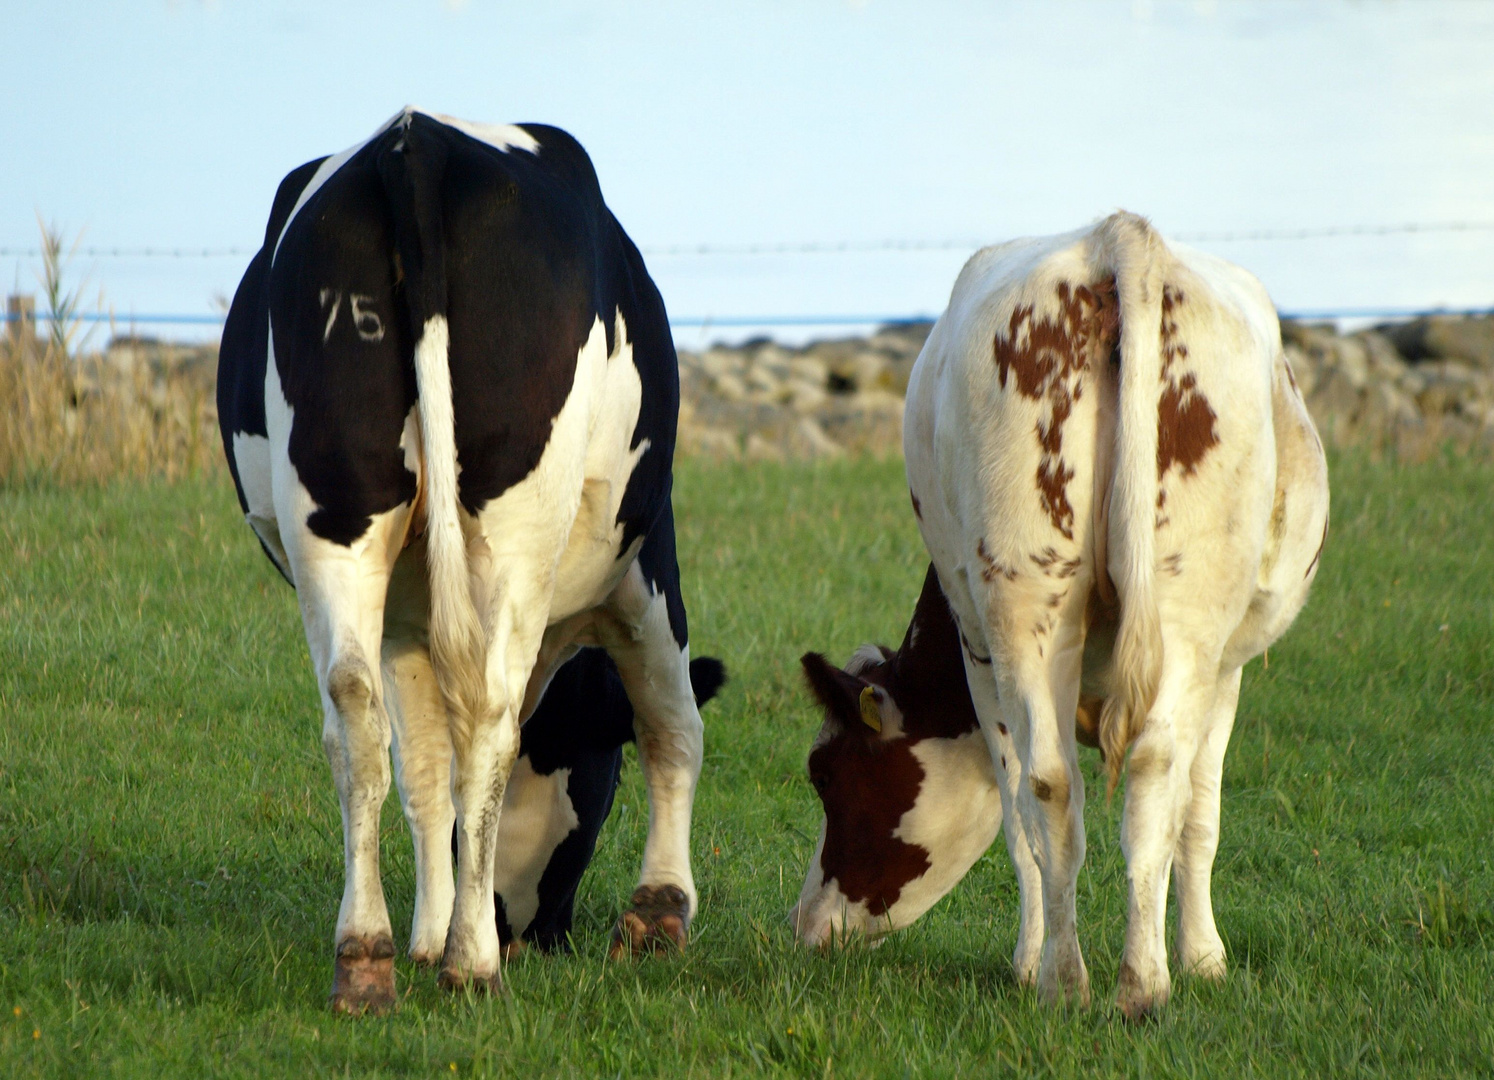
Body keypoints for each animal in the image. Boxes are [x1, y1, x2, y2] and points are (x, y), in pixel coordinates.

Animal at [794, 213, 1332, 1021]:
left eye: (825, 775)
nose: (804, 927)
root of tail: (1119, 238)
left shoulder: (980, 650)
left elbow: (1146, 816)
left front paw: (1186, 959)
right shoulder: (1219, 665)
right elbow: (1185, 811)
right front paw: (1198, 959)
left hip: (1044, 608)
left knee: (1064, 785)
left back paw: (1087, 981)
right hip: (1147, 608)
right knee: (1121, 776)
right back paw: (1117, 983)